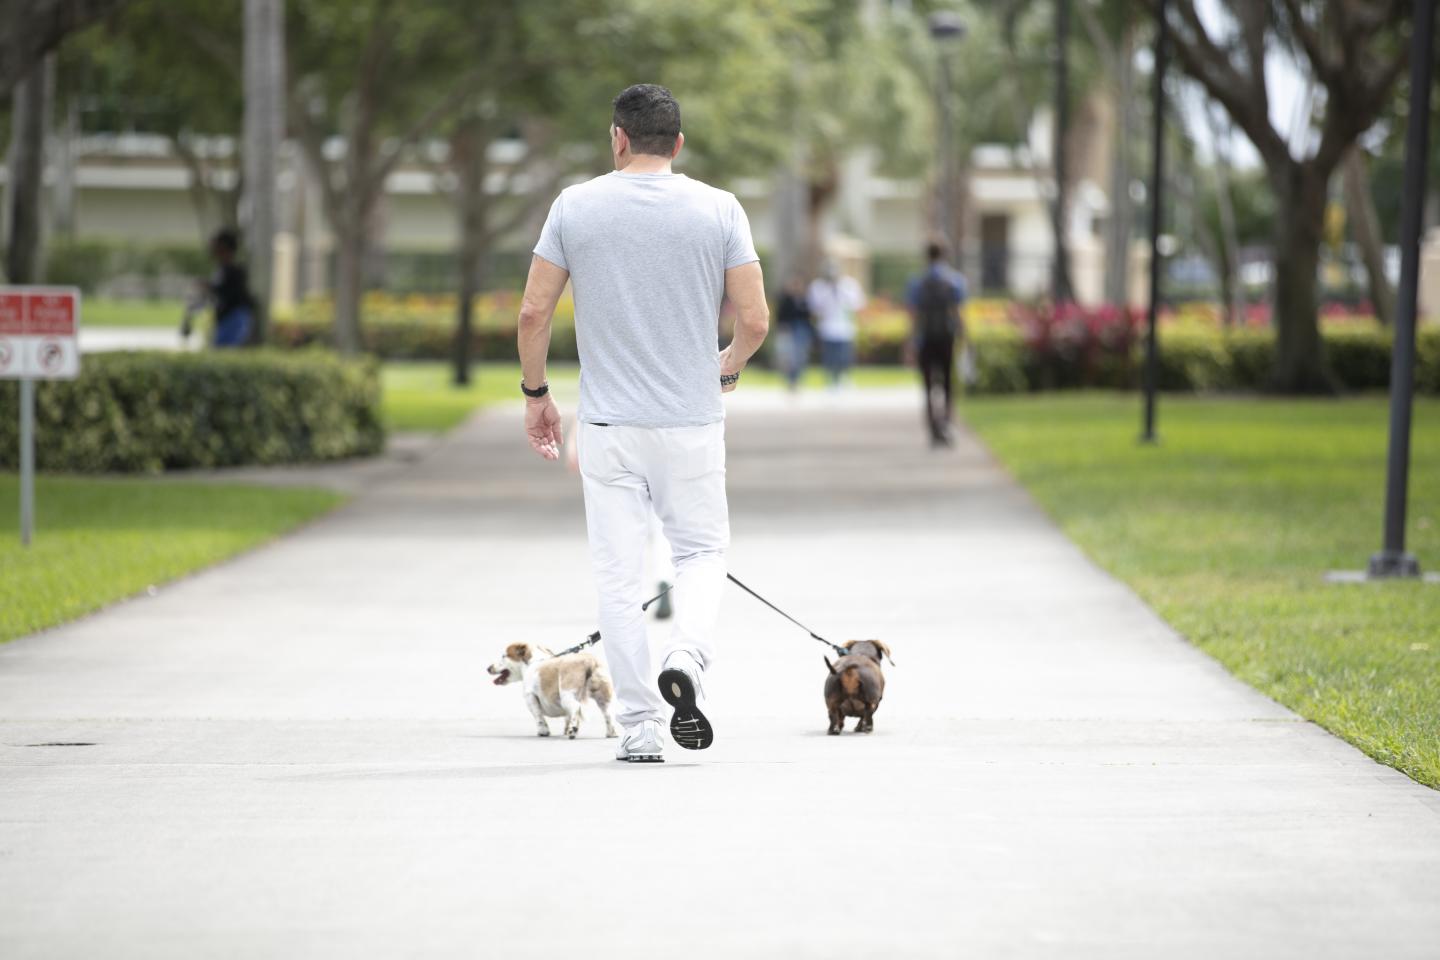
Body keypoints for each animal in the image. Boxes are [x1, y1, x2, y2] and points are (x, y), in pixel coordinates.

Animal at [489, 644, 619, 742]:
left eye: (504, 656)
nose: (488, 668)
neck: (533, 663)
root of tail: (589, 661)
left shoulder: (530, 697)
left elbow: (538, 716)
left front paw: (543, 731)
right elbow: (567, 717)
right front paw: (565, 729)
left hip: (566, 695)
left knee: (576, 707)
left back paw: (573, 730)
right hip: (603, 697)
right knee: (608, 714)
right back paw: (611, 733)